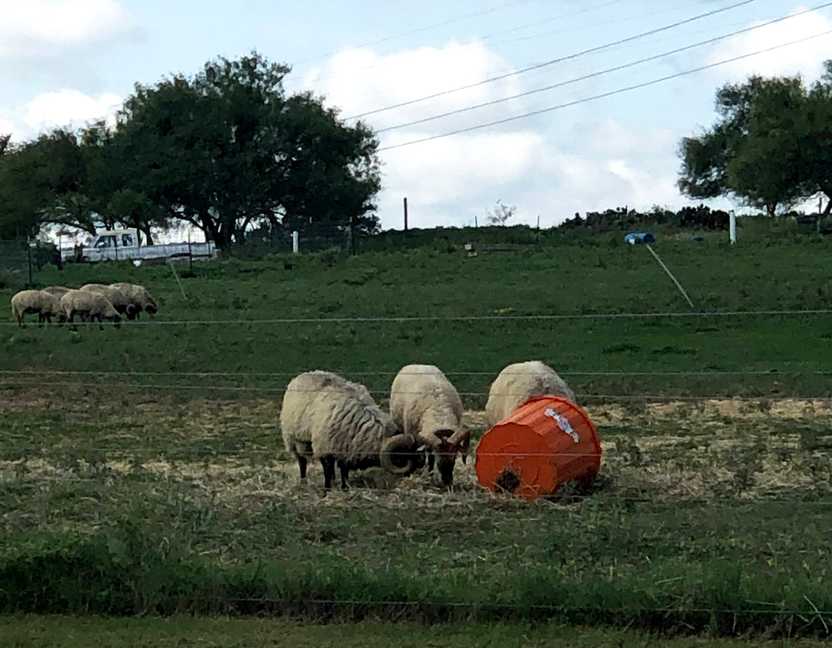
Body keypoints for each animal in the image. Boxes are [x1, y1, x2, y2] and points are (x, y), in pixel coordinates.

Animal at [280, 370, 420, 490]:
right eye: (403, 455)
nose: (411, 476)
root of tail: (303, 374)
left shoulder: (345, 445)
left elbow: (343, 469)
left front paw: (344, 487)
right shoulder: (324, 447)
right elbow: (327, 469)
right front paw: (327, 489)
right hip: (293, 439)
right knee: (302, 461)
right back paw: (303, 481)